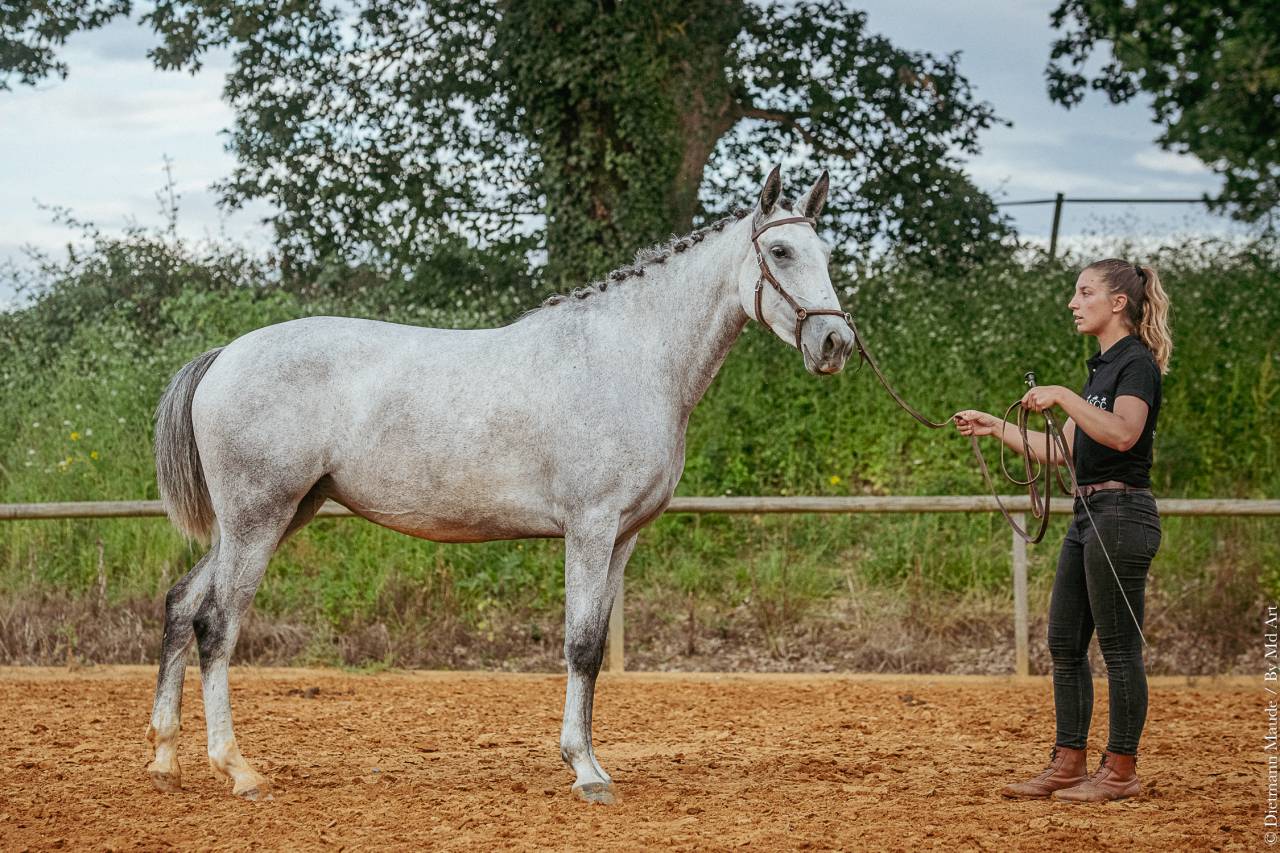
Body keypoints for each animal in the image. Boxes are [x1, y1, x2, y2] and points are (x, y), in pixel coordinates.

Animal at [144, 166, 857, 805]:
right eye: (780, 251)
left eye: (827, 253)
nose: (835, 342)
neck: (628, 359)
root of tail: (224, 357)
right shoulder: (591, 528)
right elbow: (581, 644)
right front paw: (586, 772)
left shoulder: (623, 537)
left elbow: (596, 645)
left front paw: (591, 761)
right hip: (258, 518)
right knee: (216, 623)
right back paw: (237, 769)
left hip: (277, 516)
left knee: (181, 604)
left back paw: (164, 757)